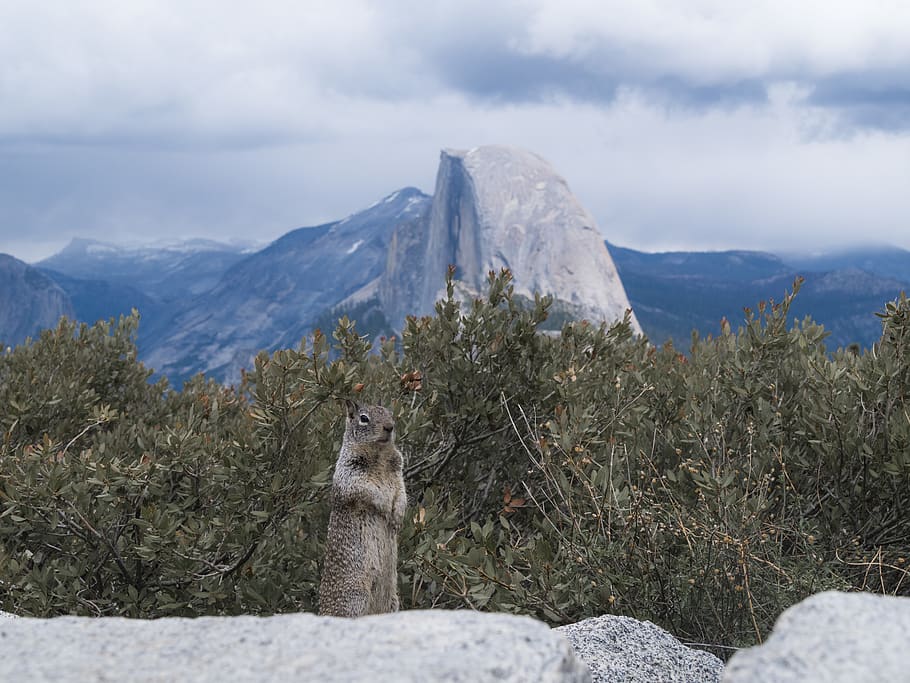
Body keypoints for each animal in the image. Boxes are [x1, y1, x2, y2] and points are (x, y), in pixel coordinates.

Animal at [318, 399, 407, 617]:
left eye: (390, 414)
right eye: (364, 418)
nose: (390, 427)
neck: (380, 454)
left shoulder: (398, 472)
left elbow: (402, 493)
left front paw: (398, 515)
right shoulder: (349, 475)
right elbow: (368, 491)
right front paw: (384, 506)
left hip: (392, 601)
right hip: (355, 597)